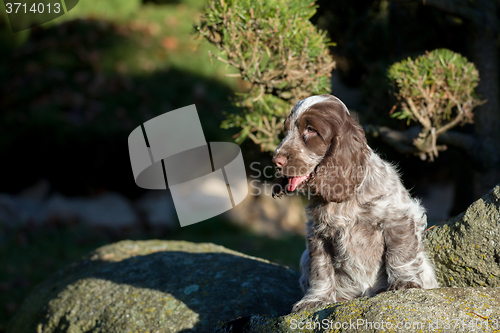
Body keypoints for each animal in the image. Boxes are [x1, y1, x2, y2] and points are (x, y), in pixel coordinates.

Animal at [270, 93, 438, 312]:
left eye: (311, 130)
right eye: (287, 130)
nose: (276, 161)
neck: (344, 197)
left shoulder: (398, 218)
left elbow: (401, 254)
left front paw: (404, 283)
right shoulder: (318, 234)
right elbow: (320, 270)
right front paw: (315, 300)